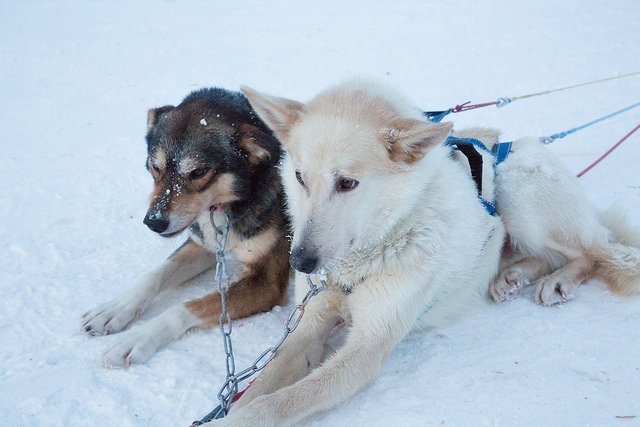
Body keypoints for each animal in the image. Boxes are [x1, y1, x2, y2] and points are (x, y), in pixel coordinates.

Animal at [82, 88, 290, 368]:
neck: (226, 206)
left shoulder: (266, 282)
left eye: (199, 171)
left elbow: (183, 308)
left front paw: (137, 338)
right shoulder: (205, 245)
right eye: (154, 166)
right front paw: (114, 309)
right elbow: (153, 275)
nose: (153, 221)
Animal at [201, 82, 640, 426]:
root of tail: (524, 144)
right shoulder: (309, 325)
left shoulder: (363, 352)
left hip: (521, 192)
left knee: (594, 251)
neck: (362, 262)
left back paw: (559, 281)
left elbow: (276, 404)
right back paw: (512, 277)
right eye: (299, 177)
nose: (301, 262)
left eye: (347, 183)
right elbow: (264, 382)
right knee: (545, 254)